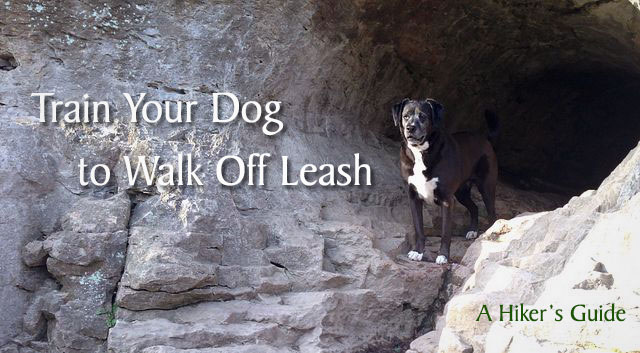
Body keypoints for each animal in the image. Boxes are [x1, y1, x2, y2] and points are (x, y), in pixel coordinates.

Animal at [390, 97, 500, 262]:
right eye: (405, 116)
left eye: (423, 116)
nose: (410, 128)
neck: (421, 152)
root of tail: (484, 138)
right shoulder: (414, 198)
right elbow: (419, 228)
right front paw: (417, 251)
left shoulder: (447, 200)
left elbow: (445, 232)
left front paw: (443, 255)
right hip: (461, 193)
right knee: (474, 207)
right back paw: (472, 231)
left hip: (486, 187)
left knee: (492, 214)